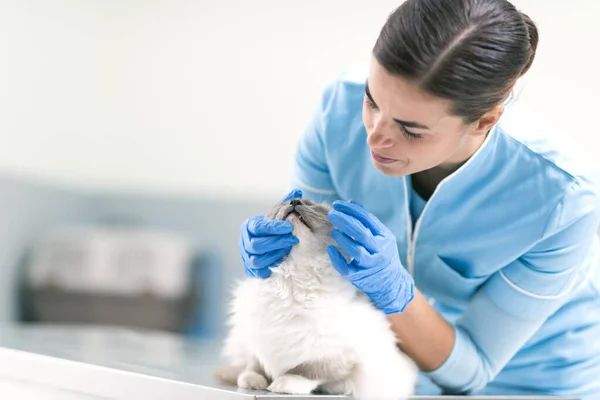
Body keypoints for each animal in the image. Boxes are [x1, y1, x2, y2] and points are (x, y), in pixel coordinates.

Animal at [216, 198, 418, 398]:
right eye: (288, 202)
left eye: (309, 205)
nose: (294, 200)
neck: (292, 279)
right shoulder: (258, 338)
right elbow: (255, 364)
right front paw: (253, 380)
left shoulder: (333, 354)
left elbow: (306, 370)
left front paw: (284, 383)